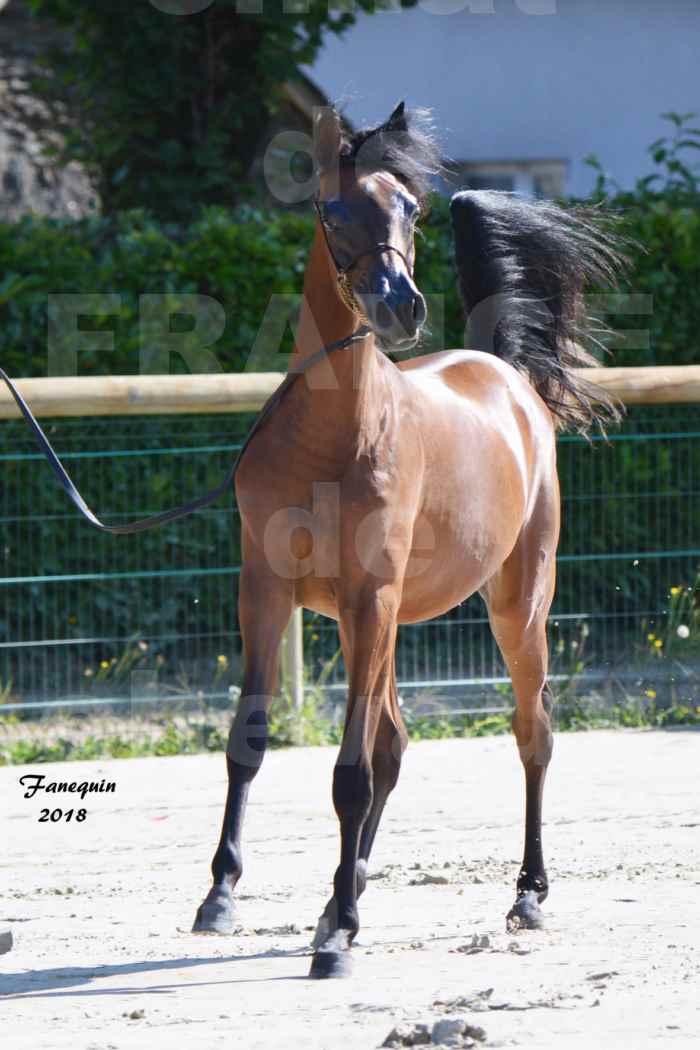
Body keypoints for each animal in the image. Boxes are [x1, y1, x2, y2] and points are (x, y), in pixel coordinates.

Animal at [189, 104, 617, 974]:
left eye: (411, 211)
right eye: (331, 211)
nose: (401, 307)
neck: (331, 437)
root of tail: (507, 377)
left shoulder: (369, 597)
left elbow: (350, 771)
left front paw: (340, 936)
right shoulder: (266, 592)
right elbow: (251, 740)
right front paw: (221, 897)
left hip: (513, 607)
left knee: (532, 734)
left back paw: (525, 894)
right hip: (381, 627)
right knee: (395, 742)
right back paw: (339, 895)